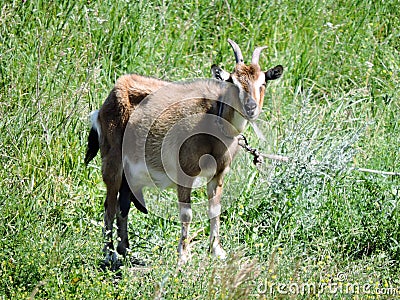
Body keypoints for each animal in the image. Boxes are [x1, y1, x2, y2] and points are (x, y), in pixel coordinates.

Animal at [86, 39, 282, 264]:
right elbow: (187, 213)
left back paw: (125, 250)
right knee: (109, 205)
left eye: (263, 83)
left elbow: (215, 209)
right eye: (233, 82)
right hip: (113, 161)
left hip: (129, 174)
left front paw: (217, 251)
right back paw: (110, 254)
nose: (250, 108)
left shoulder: (218, 174)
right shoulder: (185, 171)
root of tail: (109, 98)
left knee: (122, 205)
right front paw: (184, 256)